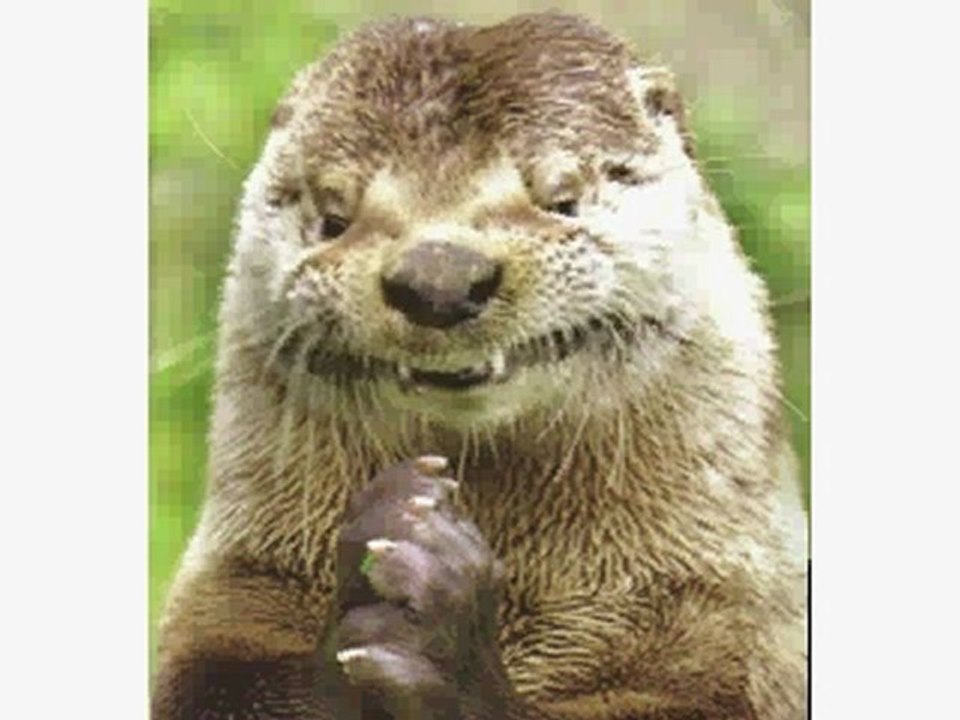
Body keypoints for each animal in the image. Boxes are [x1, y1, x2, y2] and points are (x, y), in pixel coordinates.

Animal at [152, 12, 807, 720]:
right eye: (333, 218)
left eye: (562, 198)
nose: (438, 275)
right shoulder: (233, 597)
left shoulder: (724, 625)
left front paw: (440, 619)